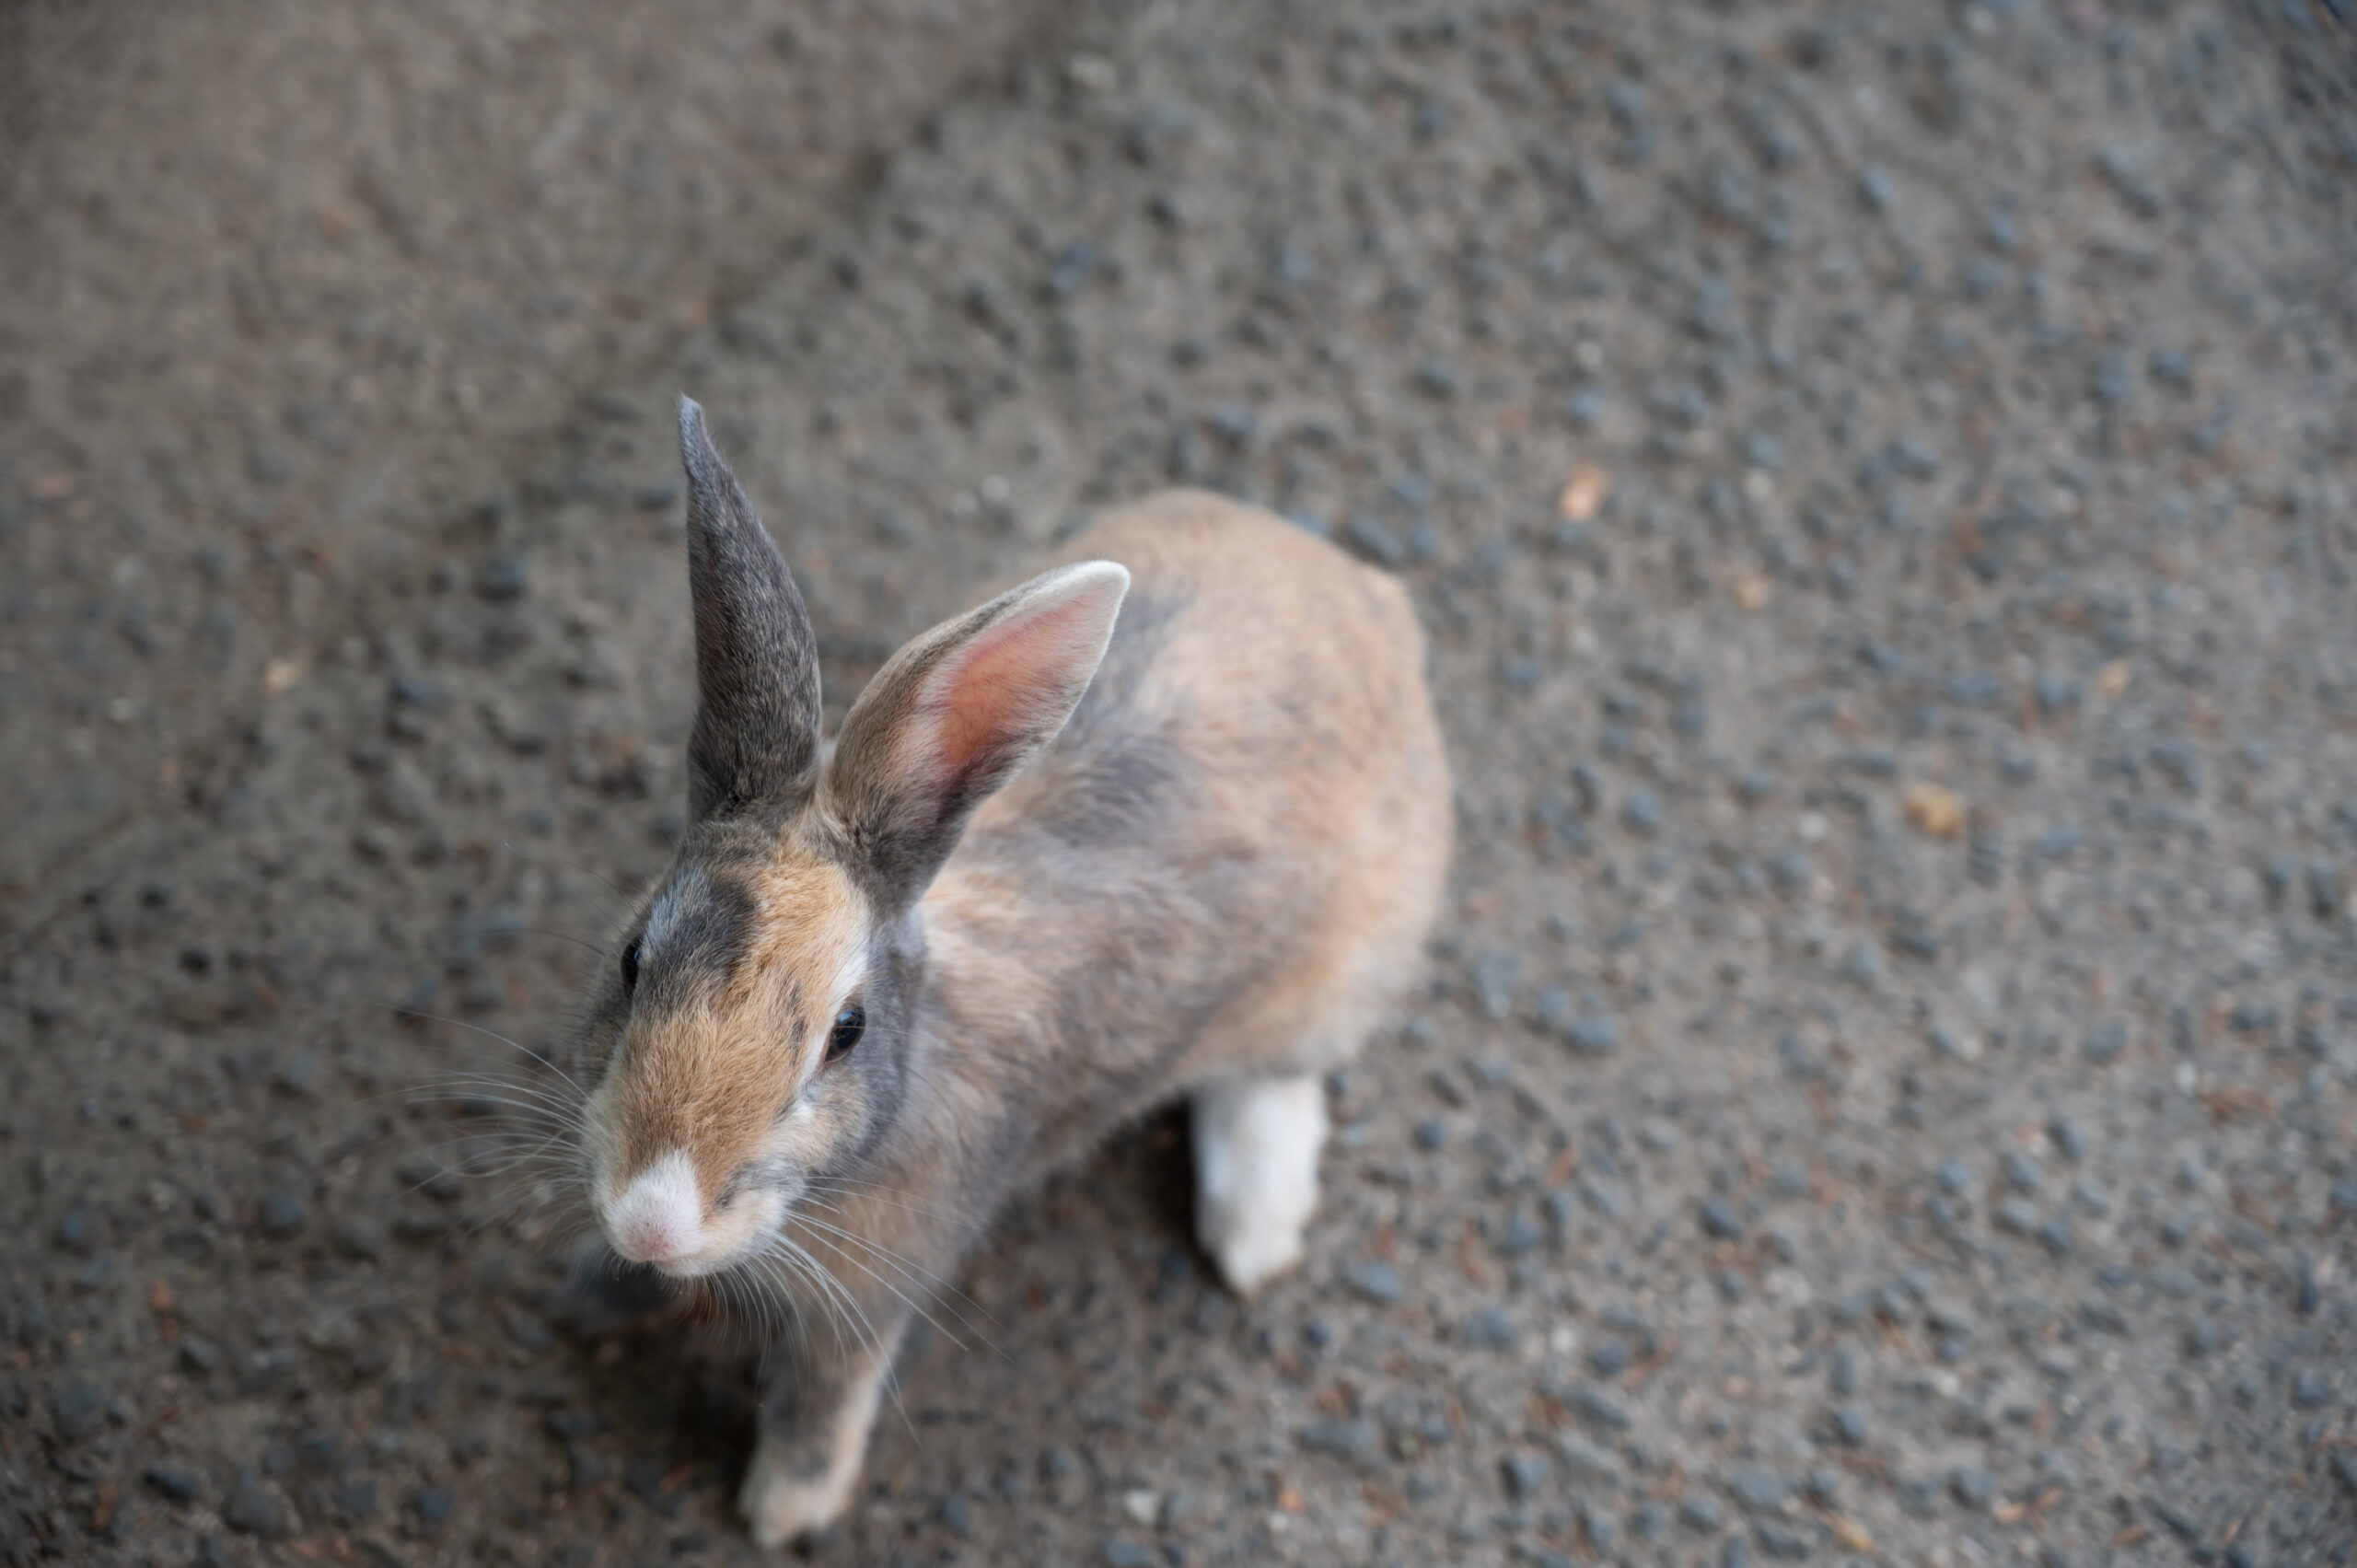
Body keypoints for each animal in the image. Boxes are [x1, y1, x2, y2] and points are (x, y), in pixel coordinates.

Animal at [566, 398, 1451, 1546]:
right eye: (635, 957)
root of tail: (1372, 600)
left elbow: (825, 1395)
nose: (651, 1216)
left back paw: (1253, 1231)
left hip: (1339, 976)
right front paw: (597, 1289)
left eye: (844, 1031)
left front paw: (785, 1509)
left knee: (1274, 1082)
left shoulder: (871, 1294)